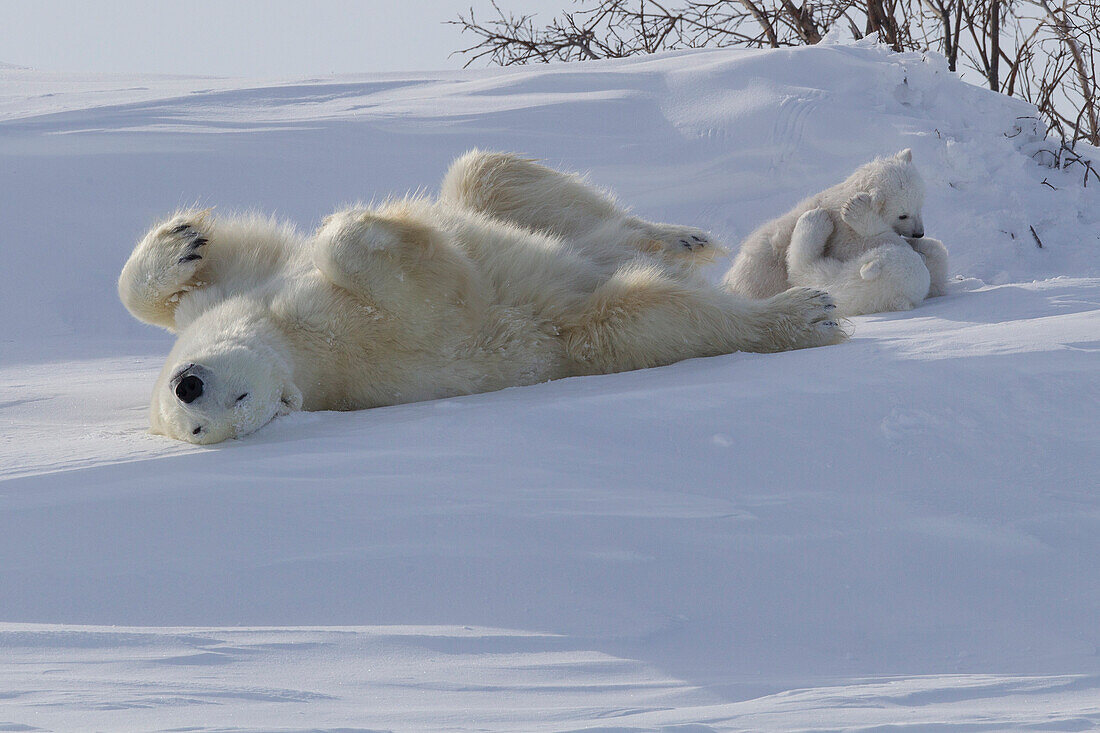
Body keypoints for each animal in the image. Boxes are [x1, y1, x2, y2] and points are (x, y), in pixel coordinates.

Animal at [118, 150, 840, 442]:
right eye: (199, 427)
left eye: (233, 398)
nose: (187, 385)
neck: (287, 341)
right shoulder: (364, 344)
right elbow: (428, 295)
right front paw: (362, 230)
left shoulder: (240, 296)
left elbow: (196, 278)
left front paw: (184, 238)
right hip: (580, 334)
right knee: (649, 316)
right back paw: (802, 315)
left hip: (536, 212)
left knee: (490, 175)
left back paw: (682, 239)